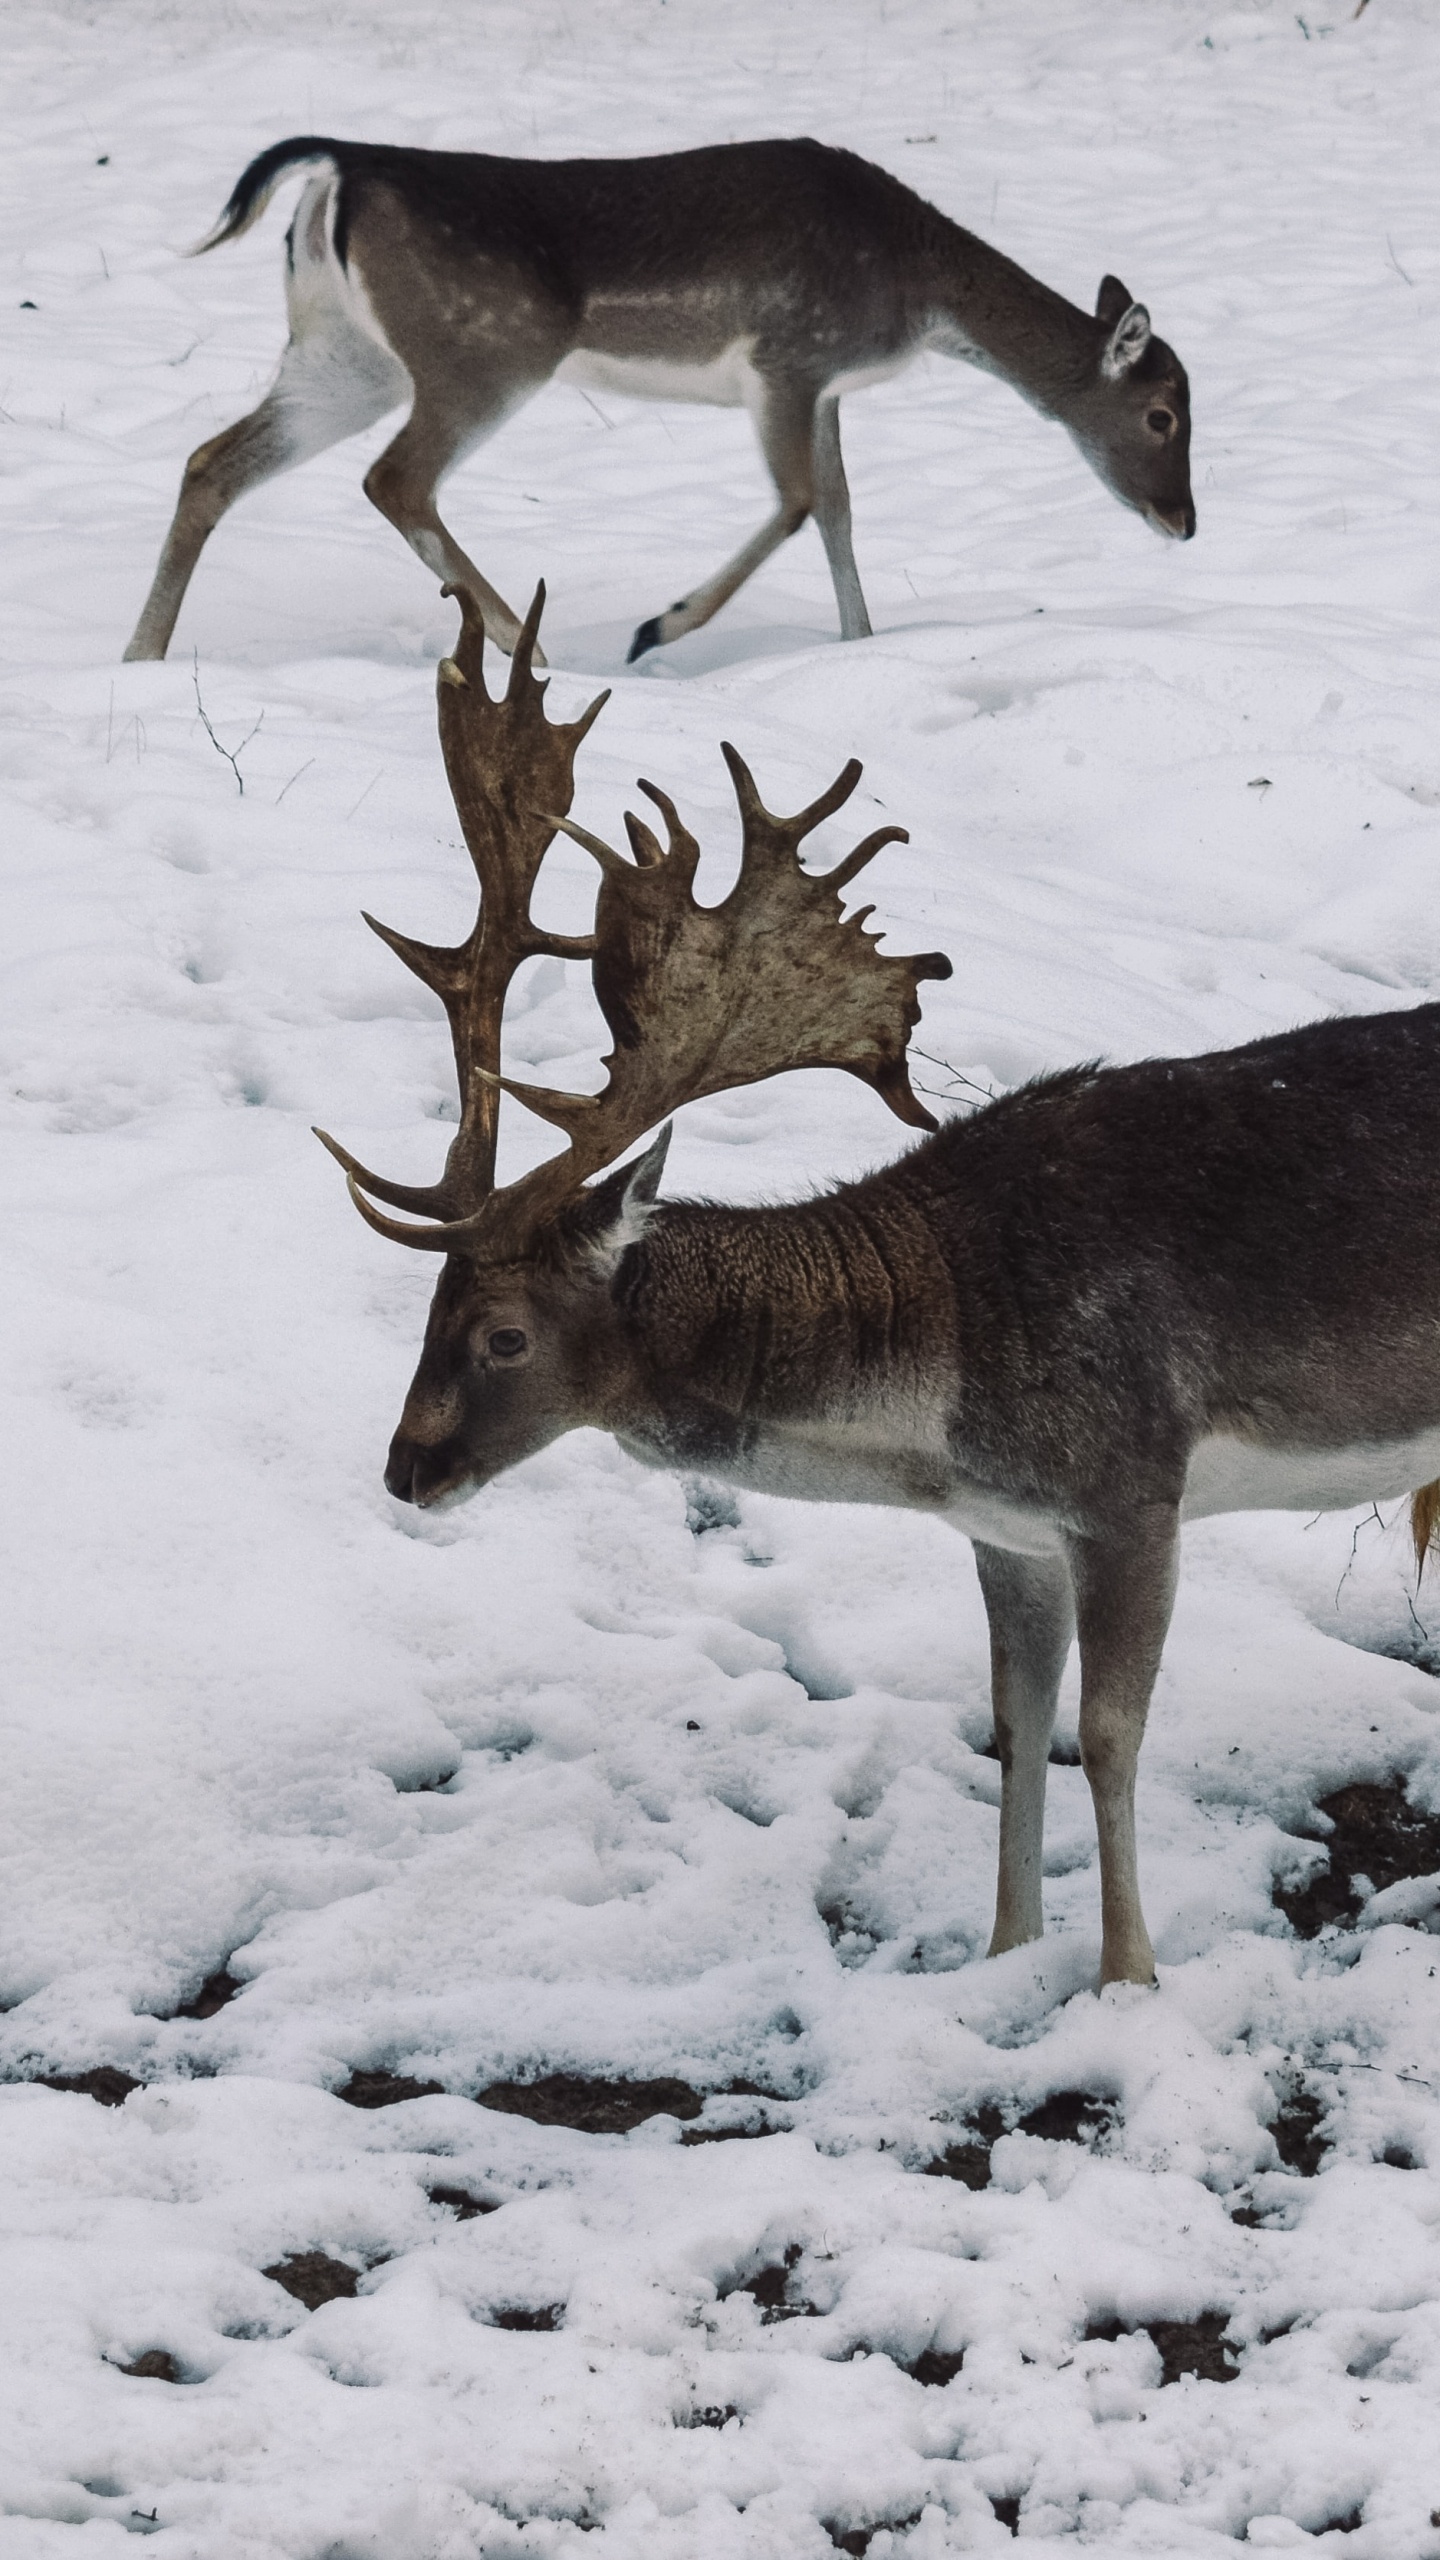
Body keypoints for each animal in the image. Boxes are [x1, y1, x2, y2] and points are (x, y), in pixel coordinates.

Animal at [123, 135, 1194, 669]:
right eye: (1163, 416)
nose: (1184, 521)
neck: (918, 295)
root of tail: (338, 171)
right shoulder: (787, 356)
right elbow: (801, 503)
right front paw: (659, 625)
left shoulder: (823, 385)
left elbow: (841, 510)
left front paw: (860, 647)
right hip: (486, 352)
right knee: (395, 478)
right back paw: (532, 652)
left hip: (343, 356)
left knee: (212, 461)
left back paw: (141, 656)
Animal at [317, 587, 1440, 1990]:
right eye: (425, 1308)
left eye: (505, 1335)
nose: (405, 1469)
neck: (940, 1390)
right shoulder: (1006, 1527)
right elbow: (1016, 1722)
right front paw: (1004, 1954)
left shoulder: (1131, 1482)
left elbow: (1109, 1733)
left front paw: (1128, 1979)